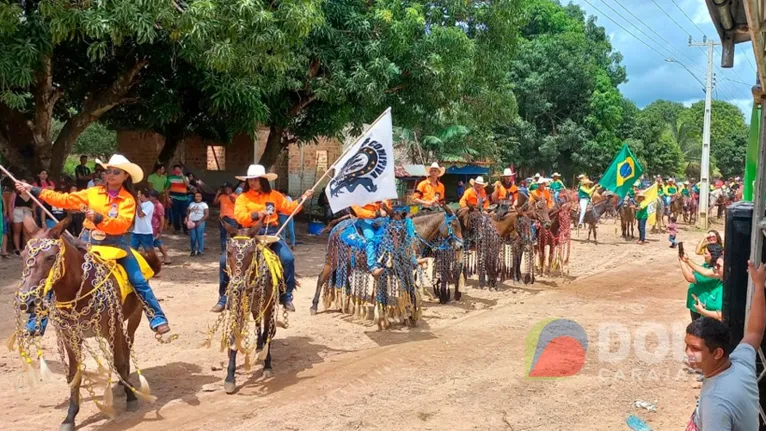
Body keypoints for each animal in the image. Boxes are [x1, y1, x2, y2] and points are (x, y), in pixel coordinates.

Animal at [9, 216, 161, 431]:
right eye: (23, 255)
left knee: (127, 347)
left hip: (134, 316)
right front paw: (70, 417)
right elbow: (75, 374)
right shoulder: (70, 336)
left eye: (50, 257)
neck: (78, 290)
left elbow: (120, 362)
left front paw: (132, 398)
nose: (26, 300)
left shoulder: (113, 328)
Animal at [206, 223, 284, 394]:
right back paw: (259, 346)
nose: (237, 285)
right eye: (229, 252)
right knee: (257, 324)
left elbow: (268, 332)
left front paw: (267, 365)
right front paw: (230, 378)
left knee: (266, 329)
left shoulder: (269, 306)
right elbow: (234, 338)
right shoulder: (238, 307)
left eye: (251, 252)